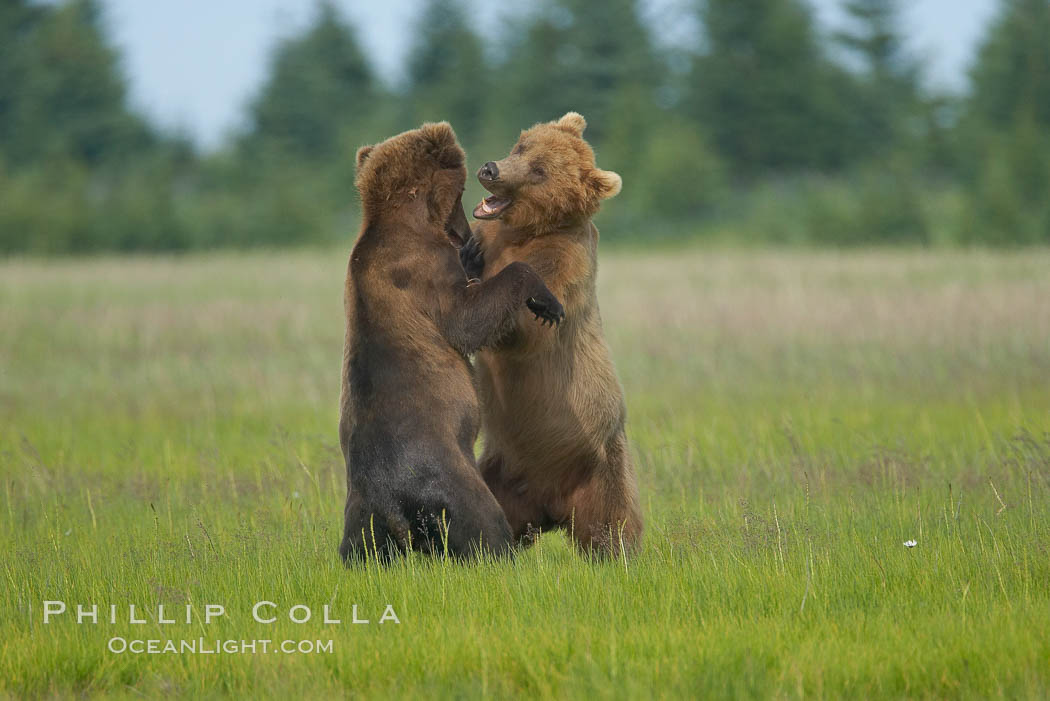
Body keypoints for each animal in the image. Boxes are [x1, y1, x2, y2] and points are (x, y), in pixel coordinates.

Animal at [336, 123, 567, 562]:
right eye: (460, 193)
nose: (465, 235)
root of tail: (388, 497)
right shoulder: (422, 271)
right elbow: (467, 319)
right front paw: (547, 302)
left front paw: (478, 254)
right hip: (448, 474)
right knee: (483, 521)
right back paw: (505, 553)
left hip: (361, 511)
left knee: (358, 547)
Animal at [464, 112, 642, 554]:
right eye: (522, 147)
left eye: (540, 171)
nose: (490, 169)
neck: (525, 233)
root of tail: (552, 509)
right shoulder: (495, 237)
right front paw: (470, 258)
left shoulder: (564, 263)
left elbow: (528, 332)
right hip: (500, 474)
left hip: (604, 469)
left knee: (612, 526)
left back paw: (619, 552)